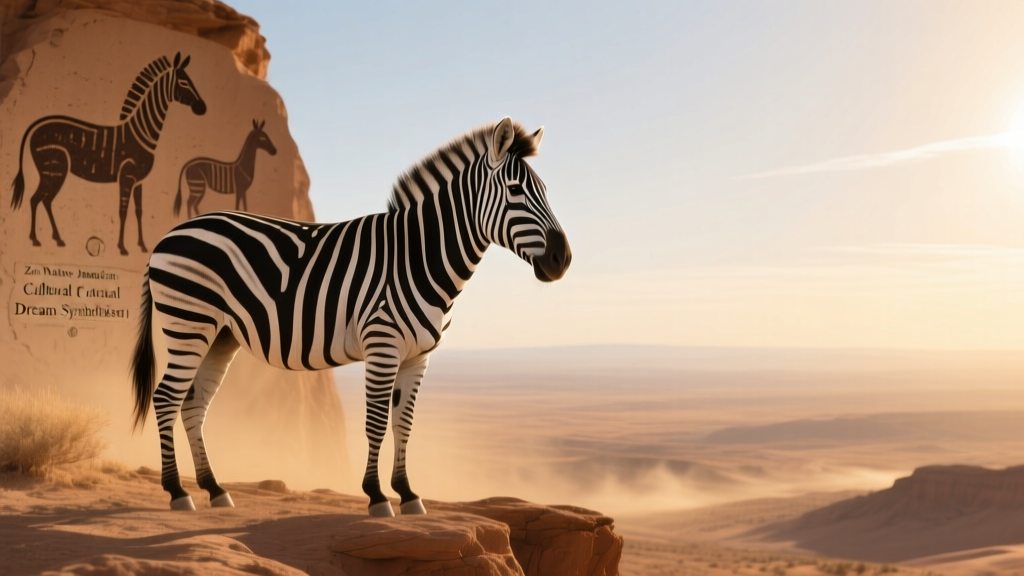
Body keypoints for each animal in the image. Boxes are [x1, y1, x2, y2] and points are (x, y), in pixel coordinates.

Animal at [10, 52, 206, 255]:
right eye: (183, 82)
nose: (202, 108)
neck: (142, 133)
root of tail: (36, 127)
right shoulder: (126, 177)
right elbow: (123, 211)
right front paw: (122, 248)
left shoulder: (138, 181)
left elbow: (139, 211)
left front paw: (142, 245)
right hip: (54, 170)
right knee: (37, 199)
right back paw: (36, 240)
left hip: (51, 172)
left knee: (43, 200)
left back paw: (56, 239)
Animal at [130, 117, 572, 516]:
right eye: (515, 191)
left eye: (546, 192)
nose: (562, 258)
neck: (419, 257)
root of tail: (167, 237)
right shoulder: (383, 344)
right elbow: (376, 422)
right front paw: (377, 496)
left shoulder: (418, 356)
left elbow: (404, 423)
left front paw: (408, 494)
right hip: (188, 322)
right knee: (166, 397)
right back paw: (177, 492)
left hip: (220, 335)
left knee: (193, 404)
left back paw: (215, 488)